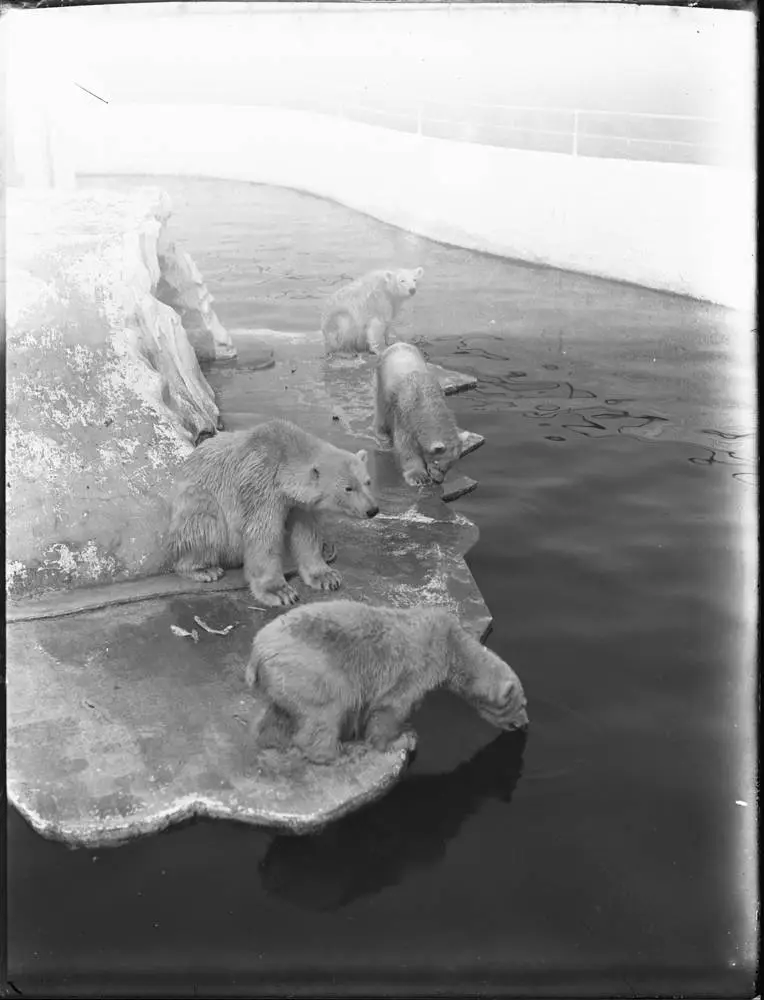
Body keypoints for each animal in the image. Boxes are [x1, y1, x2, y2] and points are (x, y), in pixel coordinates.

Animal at [169, 418, 380, 604]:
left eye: (368, 482)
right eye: (348, 488)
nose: (372, 510)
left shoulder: (297, 503)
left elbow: (306, 533)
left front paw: (326, 576)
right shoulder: (260, 485)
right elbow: (263, 535)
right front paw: (280, 592)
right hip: (195, 502)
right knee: (205, 520)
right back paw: (205, 570)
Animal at [248, 600, 528, 764]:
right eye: (522, 704)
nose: (525, 724)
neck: (452, 645)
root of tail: (257, 651)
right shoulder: (418, 667)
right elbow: (392, 707)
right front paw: (402, 738)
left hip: (286, 676)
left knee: (283, 710)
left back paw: (272, 739)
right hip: (313, 667)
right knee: (328, 708)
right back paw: (340, 753)